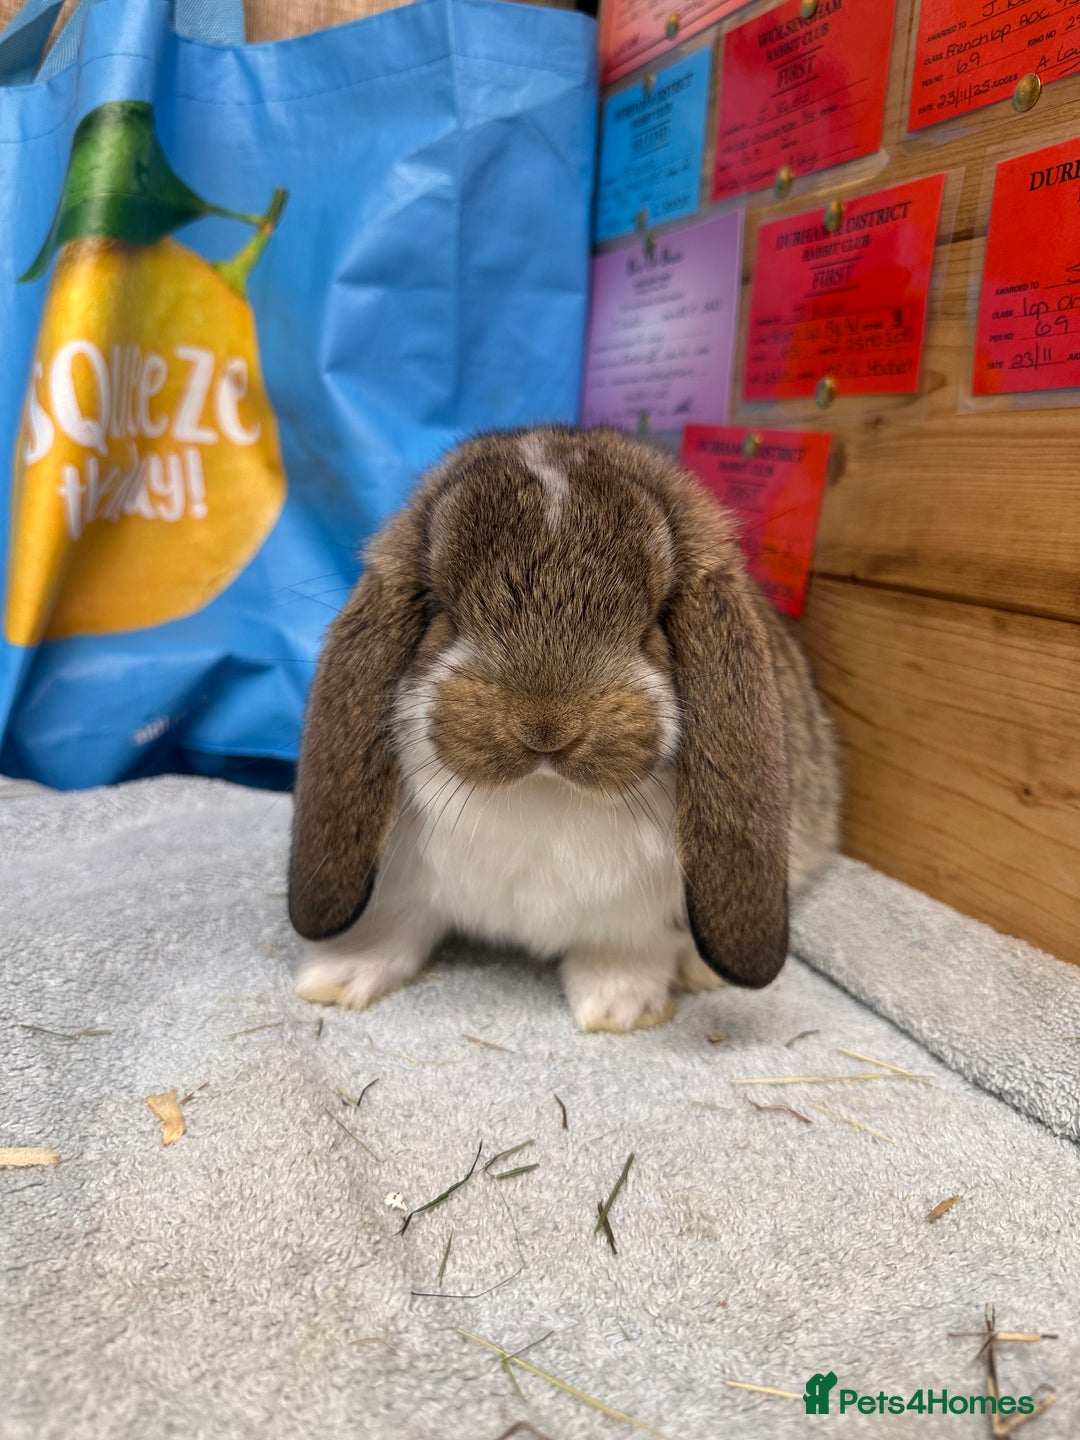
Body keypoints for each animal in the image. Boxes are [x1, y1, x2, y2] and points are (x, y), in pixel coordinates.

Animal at [288, 425, 841, 1033]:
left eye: (656, 621)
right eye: (442, 612)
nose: (546, 728)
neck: (542, 792)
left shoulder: (639, 919)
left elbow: (625, 952)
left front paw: (619, 1008)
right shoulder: (403, 885)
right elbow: (394, 925)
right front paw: (337, 976)